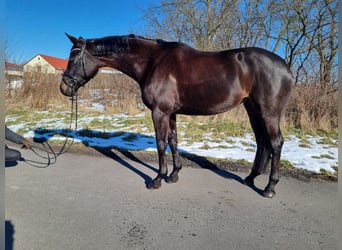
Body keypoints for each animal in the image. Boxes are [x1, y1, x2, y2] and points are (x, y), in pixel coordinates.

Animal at [60, 33, 292, 197]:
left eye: (73, 56)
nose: (64, 87)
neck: (153, 62)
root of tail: (286, 68)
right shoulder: (171, 113)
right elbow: (173, 140)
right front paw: (174, 175)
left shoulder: (159, 112)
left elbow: (161, 143)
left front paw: (157, 178)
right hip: (253, 110)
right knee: (262, 142)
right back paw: (250, 178)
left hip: (268, 113)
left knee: (275, 142)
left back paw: (269, 188)